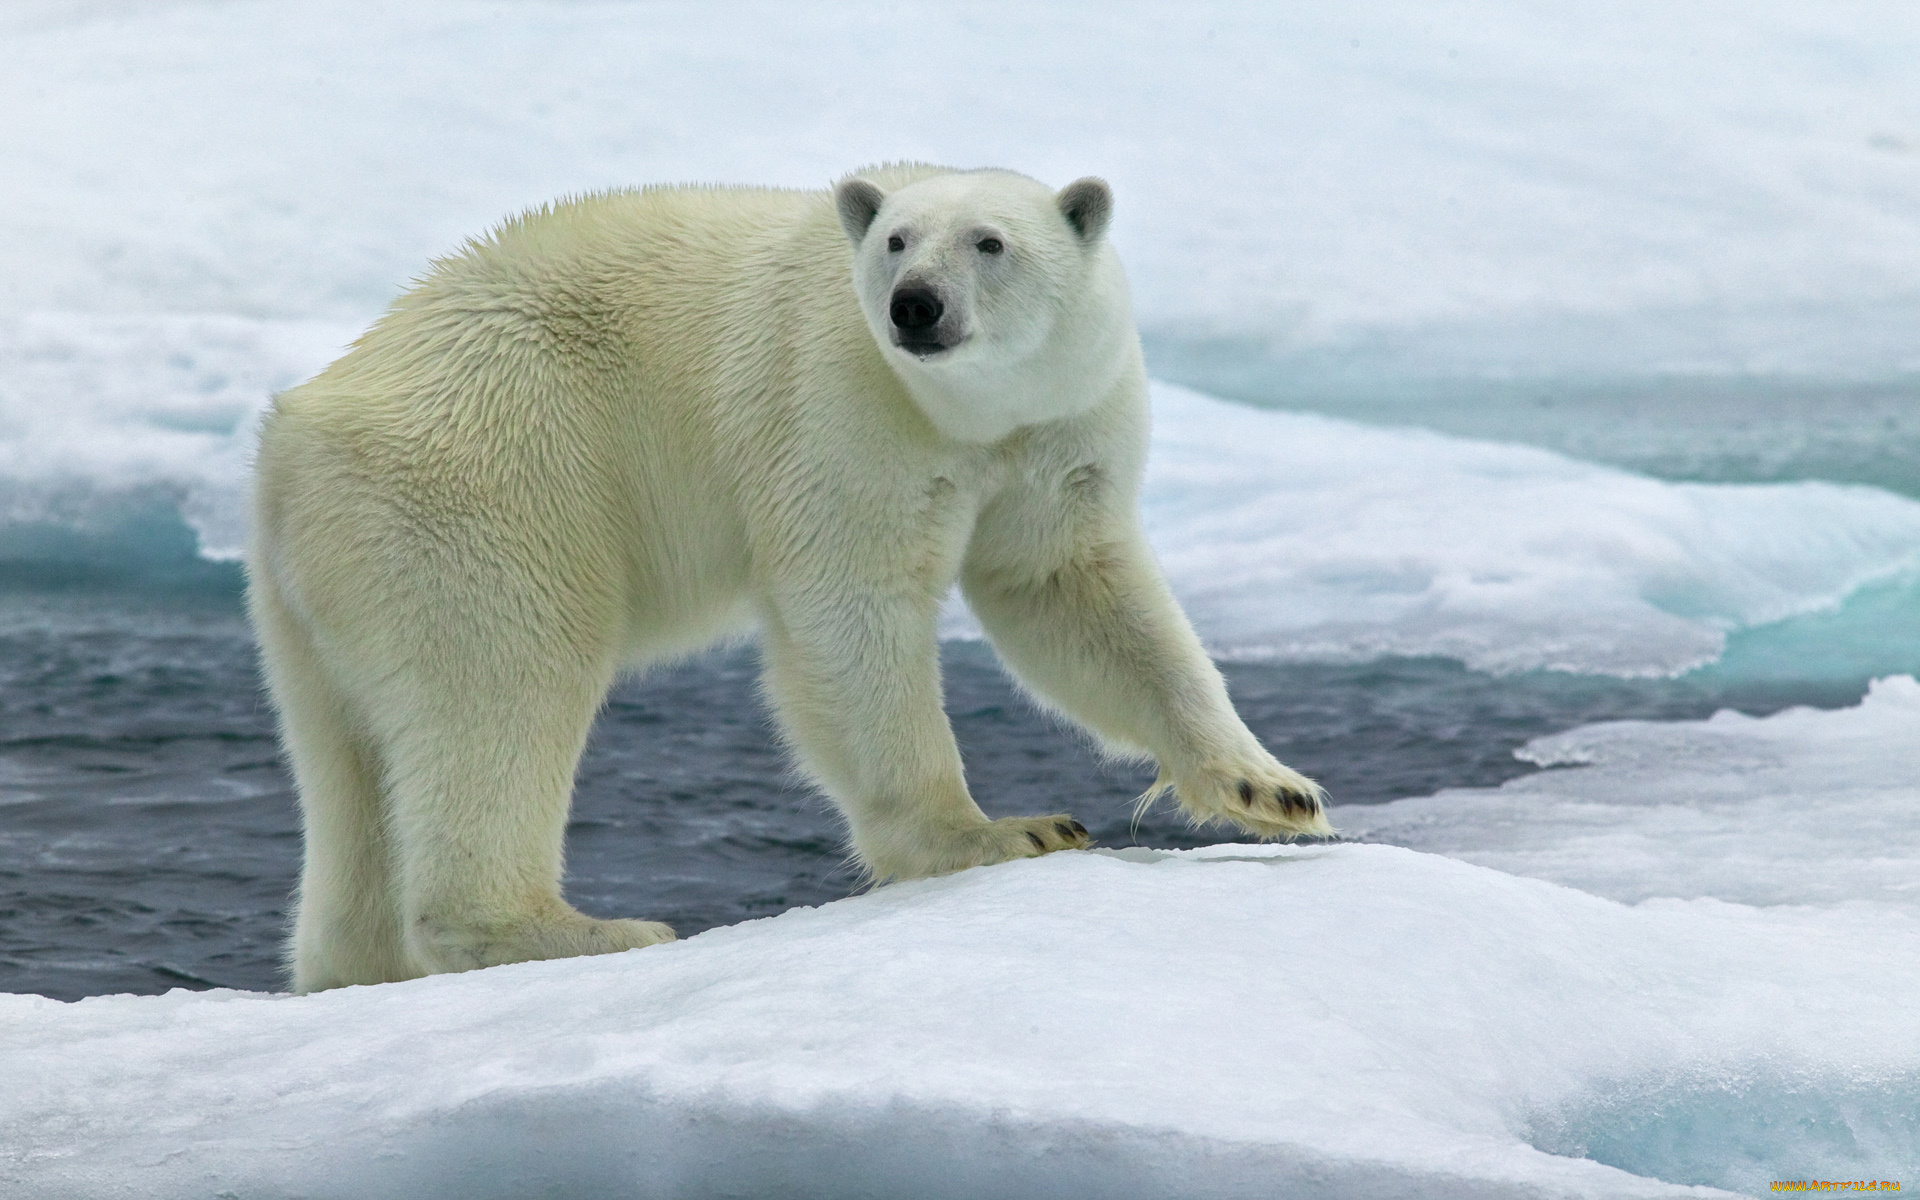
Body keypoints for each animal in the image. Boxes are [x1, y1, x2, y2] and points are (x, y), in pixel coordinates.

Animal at [247, 166, 1328, 990]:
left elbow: (1073, 590)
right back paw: (580, 929)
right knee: (506, 680)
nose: (916, 306)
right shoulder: (835, 402)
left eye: (989, 242)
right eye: (895, 241)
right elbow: (852, 607)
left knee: (350, 763)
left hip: (318, 594)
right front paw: (1004, 832)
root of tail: (293, 437)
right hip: (494, 480)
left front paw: (1270, 789)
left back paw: (355, 967)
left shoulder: (1055, 430)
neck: (964, 415)